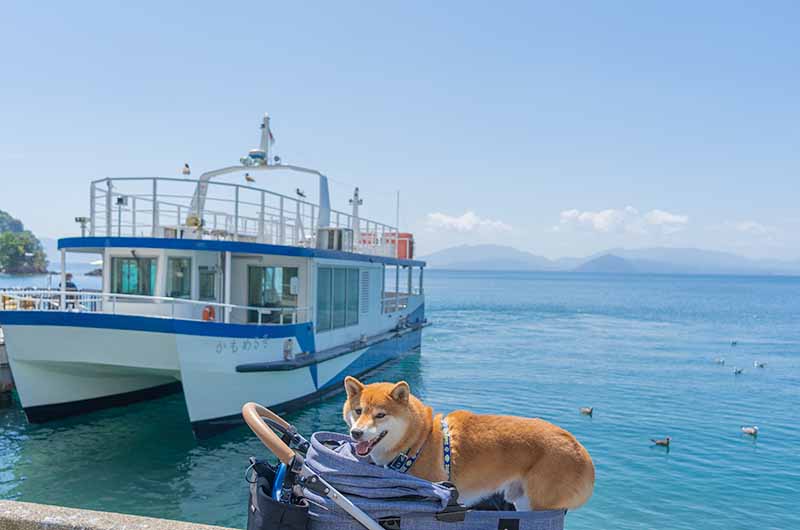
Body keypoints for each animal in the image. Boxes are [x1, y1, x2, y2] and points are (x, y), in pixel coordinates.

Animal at [342, 376, 592, 508]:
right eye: (358, 411)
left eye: (380, 415)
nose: (356, 433)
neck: (418, 441)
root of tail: (581, 451)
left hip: (539, 503)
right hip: (522, 500)